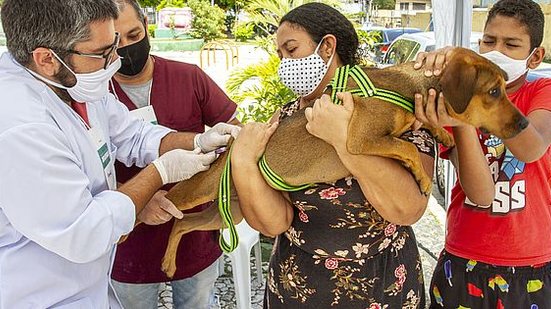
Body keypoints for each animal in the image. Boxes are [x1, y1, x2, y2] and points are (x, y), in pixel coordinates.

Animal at [158, 48, 528, 276]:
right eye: (494, 92)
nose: (524, 124)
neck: (409, 85)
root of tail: (228, 156)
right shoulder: (361, 140)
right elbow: (405, 149)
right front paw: (422, 178)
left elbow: (411, 138)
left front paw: (441, 133)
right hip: (198, 190)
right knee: (168, 205)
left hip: (229, 211)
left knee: (182, 225)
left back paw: (168, 264)